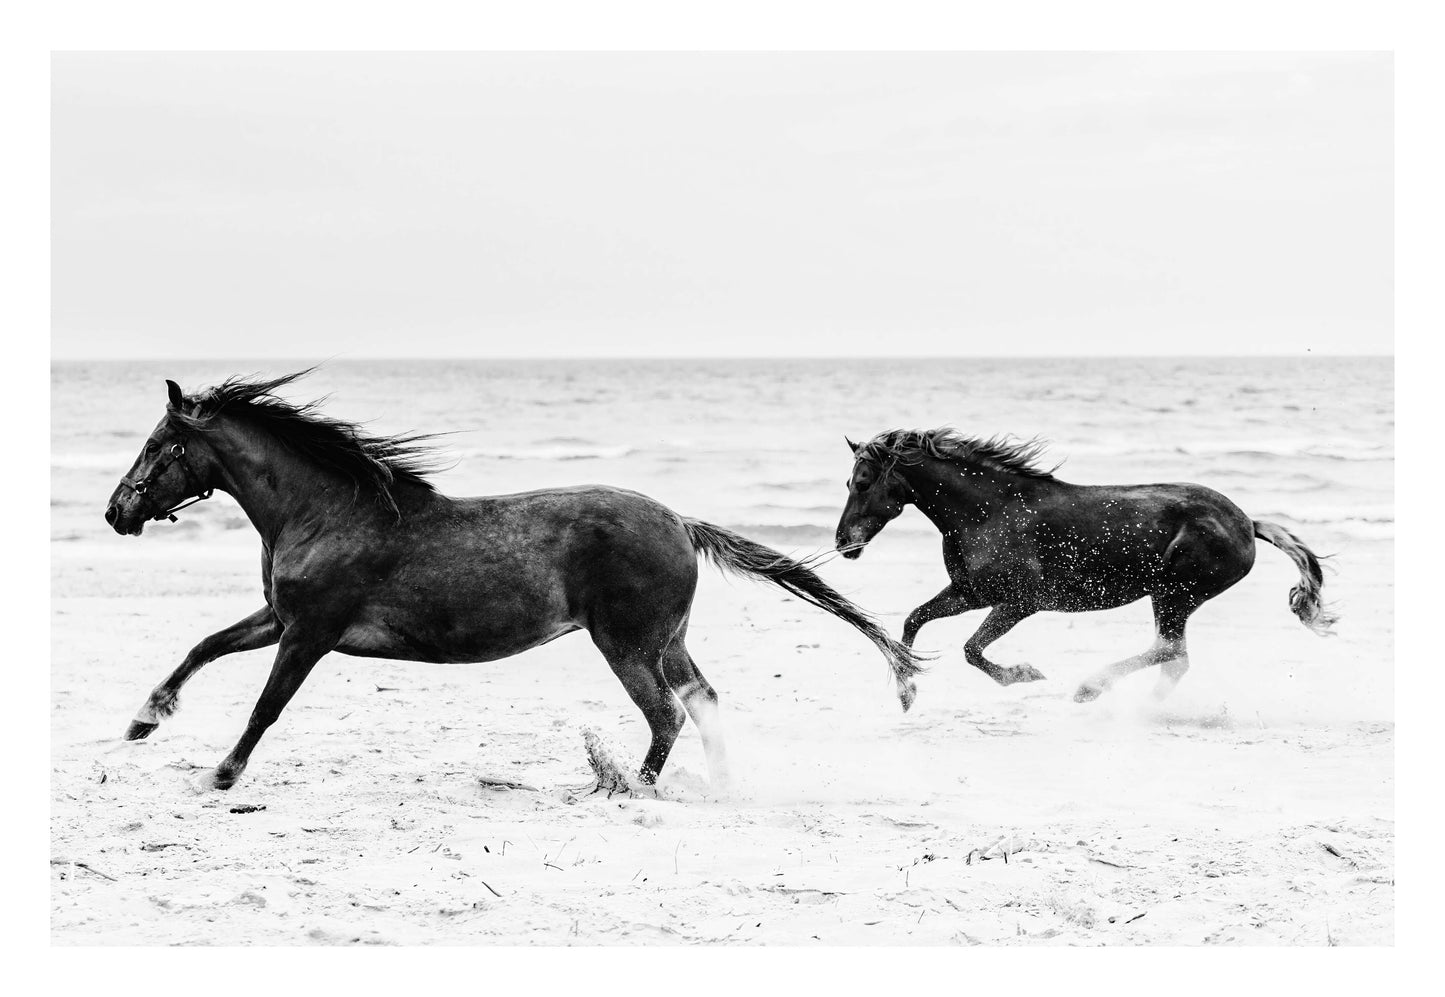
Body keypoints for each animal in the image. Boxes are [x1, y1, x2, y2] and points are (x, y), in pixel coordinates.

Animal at [104, 371, 922, 791]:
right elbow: (202, 646)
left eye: (157, 443)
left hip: (625, 644)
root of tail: (680, 521)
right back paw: (716, 786)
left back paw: (631, 789)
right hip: (667, 641)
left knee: (666, 714)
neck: (327, 512)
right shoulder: (280, 619)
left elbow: (266, 706)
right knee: (703, 702)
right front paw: (143, 720)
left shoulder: (310, 633)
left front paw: (221, 773)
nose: (115, 511)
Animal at [833, 428, 1337, 703]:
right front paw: (906, 691)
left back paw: (1091, 690)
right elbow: (914, 620)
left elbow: (971, 649)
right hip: (1173, 598)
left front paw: (1024, 675)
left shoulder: (1019, 602)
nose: (842, 544)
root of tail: (1248, 523)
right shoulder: (972, 593)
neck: (989, 511)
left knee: (1169, 652)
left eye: (863, 482)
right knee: (1174, 659)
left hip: (1174, 594)